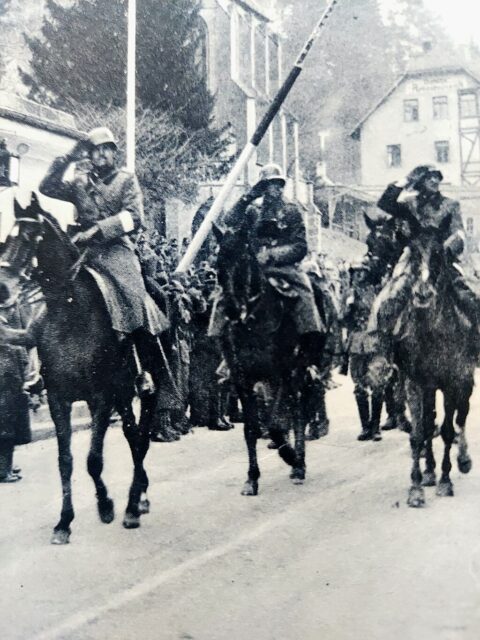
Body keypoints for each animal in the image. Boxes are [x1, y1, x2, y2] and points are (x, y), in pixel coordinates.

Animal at [0, 194, 159, 540]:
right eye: (6, 235)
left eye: (31, 236)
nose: (3, 288)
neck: (71, 311)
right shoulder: (59, 399)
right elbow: (66, 461)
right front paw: (64, 521)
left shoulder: (100, 398)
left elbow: (93, 459)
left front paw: (106, 505)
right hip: (123, 395)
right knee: (131, 434)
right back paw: (139, 495)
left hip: (146, 391)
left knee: (140, 437)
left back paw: (133, 504)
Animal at [215, 222, 324, 498]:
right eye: (218, 262)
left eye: (244, 259)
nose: (231, 309)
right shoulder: (243, 380)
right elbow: (251, 429)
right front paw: (252, 478)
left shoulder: (283, 373)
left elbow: (276, 423)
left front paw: (291, 457)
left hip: (298, 372)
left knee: (298, 410)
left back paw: (299, 464)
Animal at [382, 222, 476, 508]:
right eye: (411, 256)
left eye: (439, 256)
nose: (422, 293)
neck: (432, 333)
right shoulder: (415, 383)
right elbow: (418, 432)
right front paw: (416, 488)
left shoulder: (452, 382)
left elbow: (447, 429)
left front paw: (446, 481)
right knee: (429, 421)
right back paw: (429, 471)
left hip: (464, 382)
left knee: (461, 416)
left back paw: (463, 460)